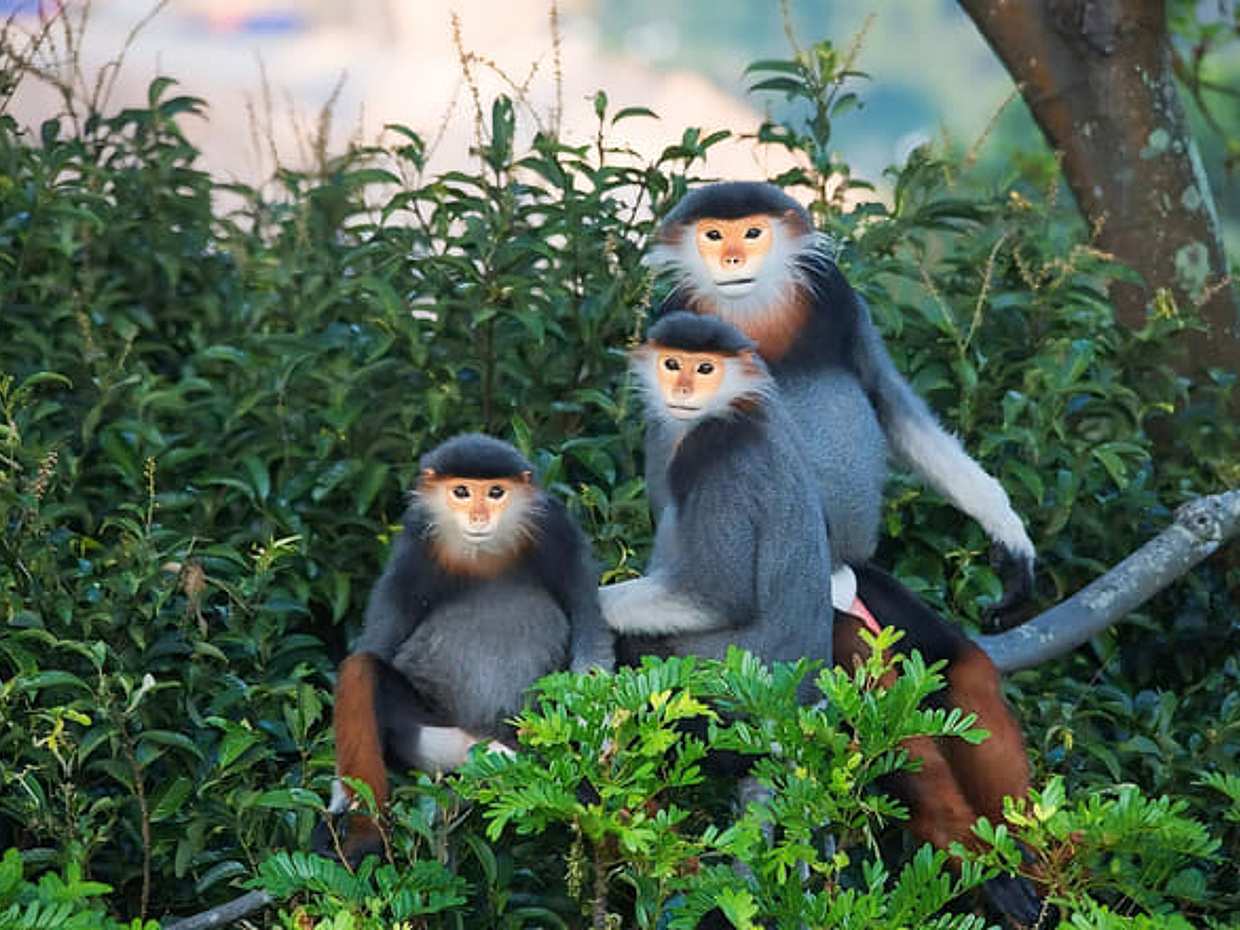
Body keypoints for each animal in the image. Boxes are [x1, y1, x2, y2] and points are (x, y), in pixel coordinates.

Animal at [314, 434, 613, 865]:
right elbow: (378, 644)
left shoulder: (558, 531)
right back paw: (363, 835)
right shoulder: (414, 547)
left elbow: (590, 634)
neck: (484, 555)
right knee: (361, 668)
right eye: (461, 492)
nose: (478, 517)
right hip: (428, 735)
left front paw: (600, 748)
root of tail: (480, 739)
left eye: (495, 492)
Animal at [600, 311, 834, 699]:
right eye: (672, 363)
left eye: (705, 368)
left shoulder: (715, 454)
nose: (682, 390)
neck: (734, 406)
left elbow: (717, 597)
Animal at [641, 182, 1044, 925]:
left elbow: (890, 402)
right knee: (879, 697)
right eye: (712, 234)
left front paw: (1009, 537)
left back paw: (1033, 855)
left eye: (751, 231)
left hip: (878, 595)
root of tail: (843, 585)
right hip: (819, 627)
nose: (733, 256)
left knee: (959, 671)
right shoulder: (673, 324)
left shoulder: (835, 293)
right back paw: (971, 852)